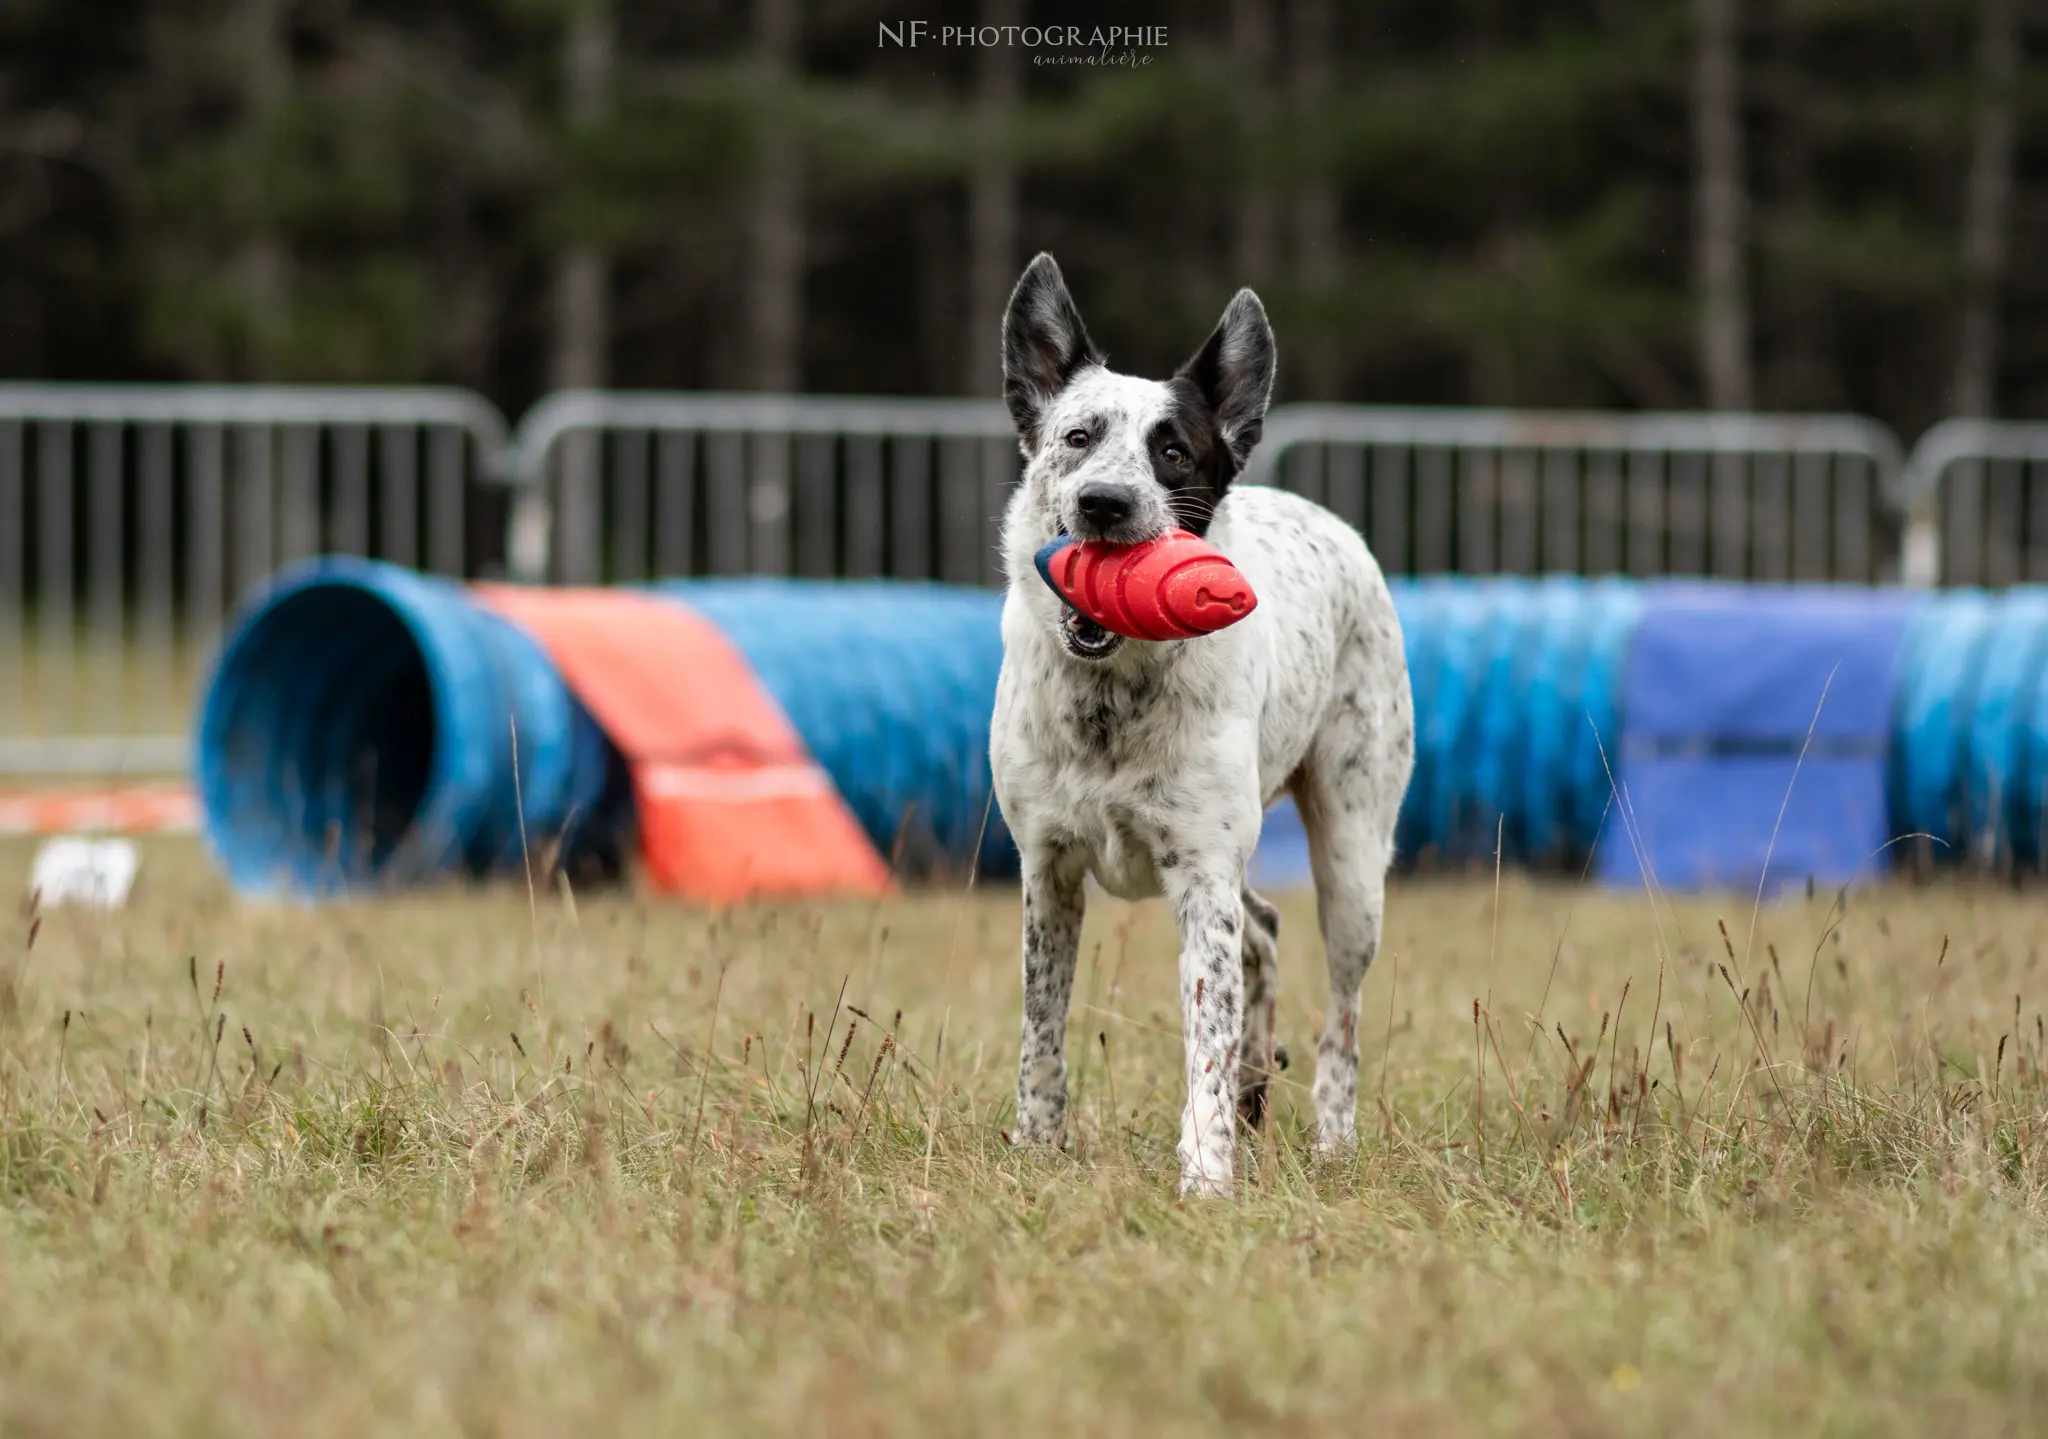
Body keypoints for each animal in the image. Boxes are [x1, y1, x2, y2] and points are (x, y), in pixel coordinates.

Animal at [987, 253, 1409, 1195]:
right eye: (1078, 436)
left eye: (1173, 450)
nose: (1106, 503)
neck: (1113, 694)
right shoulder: (1047, 869)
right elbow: (1039, 1027)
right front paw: (1034, 1147)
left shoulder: (1202, 874)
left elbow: (1204, 1037)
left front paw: (1206, 1176)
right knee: (1266, 929)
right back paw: (1257, 1083)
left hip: (1354, 858)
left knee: (1342, 1015)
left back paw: (1330, 1137)